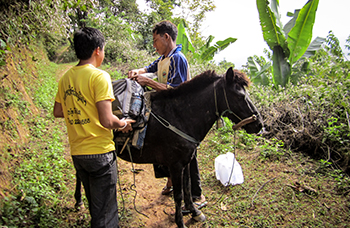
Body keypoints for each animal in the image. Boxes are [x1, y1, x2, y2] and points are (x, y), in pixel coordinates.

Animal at [115, 67, 262, 227]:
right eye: (240, 96)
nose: (259, 124)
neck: (178, 117)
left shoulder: (185, 163)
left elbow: (187, 188)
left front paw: (195, 212)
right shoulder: (176, 166)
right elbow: (178, 195)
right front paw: (180, 222)